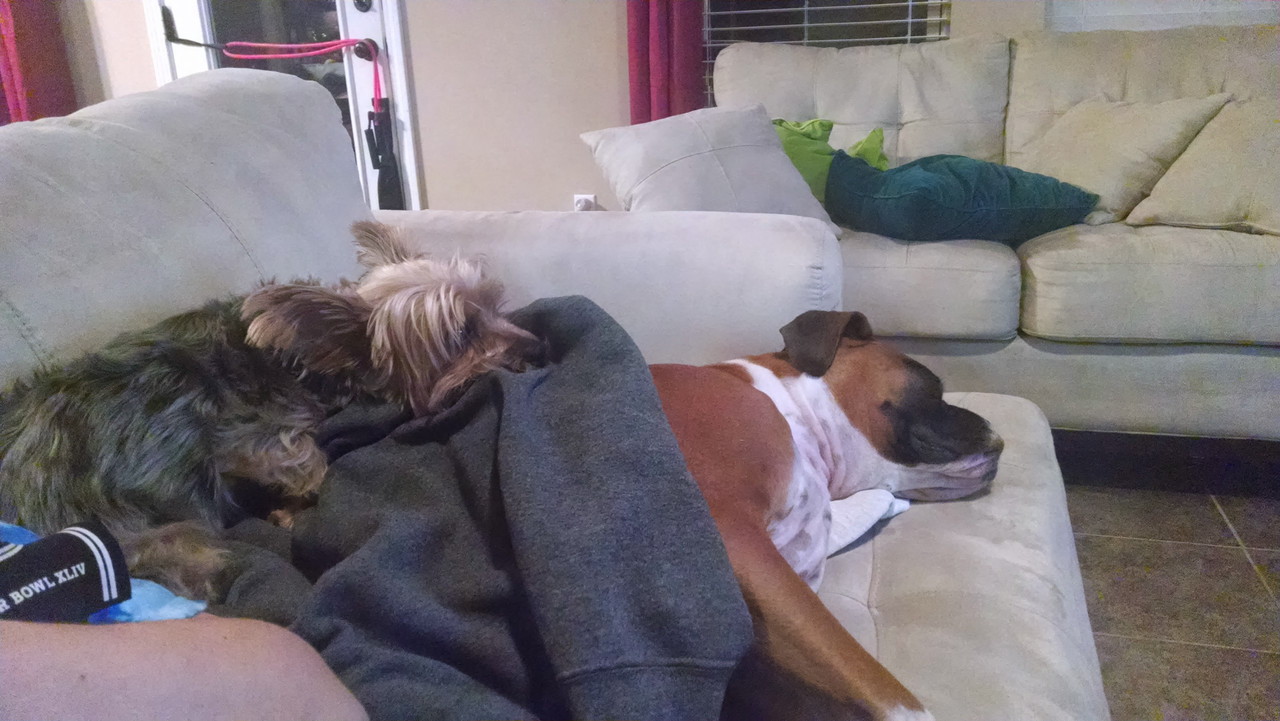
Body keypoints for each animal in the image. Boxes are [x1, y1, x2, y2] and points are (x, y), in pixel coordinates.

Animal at [0, 222, 541, 600]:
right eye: (462, 336)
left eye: (497, 304)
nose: (540, 347)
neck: (314, 366)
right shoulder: (249, 440)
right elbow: (308, 461)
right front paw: (292, 508)